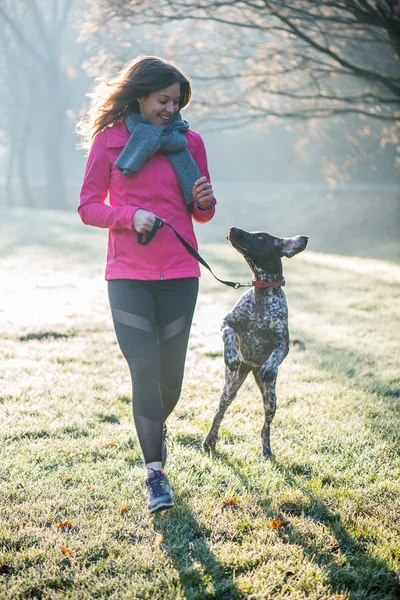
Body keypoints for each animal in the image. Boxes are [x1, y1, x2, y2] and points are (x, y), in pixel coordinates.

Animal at [203, 227, 310, 458]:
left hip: (271, 399)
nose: (232, 229)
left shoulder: (283, 342)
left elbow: (277, 353)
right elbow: (229, 334)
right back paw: (210, 440)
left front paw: (269, 367)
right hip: (230, 387)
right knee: (219, 413)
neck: (262, 291)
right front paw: (231, 356)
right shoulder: (227, 322)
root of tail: (251, 368)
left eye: (260, 237)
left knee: (265, 428)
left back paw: (266, 449)